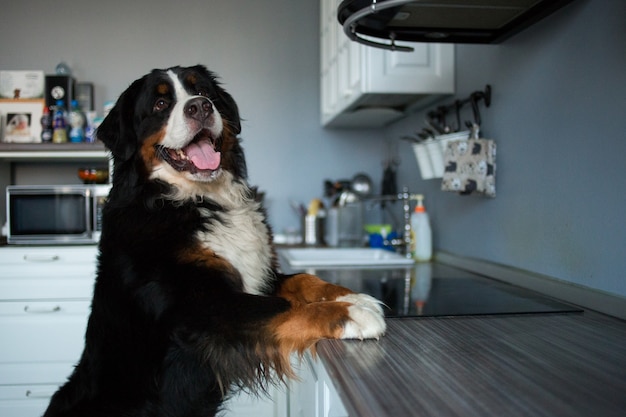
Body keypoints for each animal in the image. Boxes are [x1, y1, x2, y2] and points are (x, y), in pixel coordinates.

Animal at [44, 65, 382, 416]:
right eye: (160, 104)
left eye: (203, 91)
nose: (200, 107)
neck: (198, 201)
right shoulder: (198, 307)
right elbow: (279, 307)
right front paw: (350, 314)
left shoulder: (257, 275)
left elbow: (304, 280)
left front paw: (352, 296)